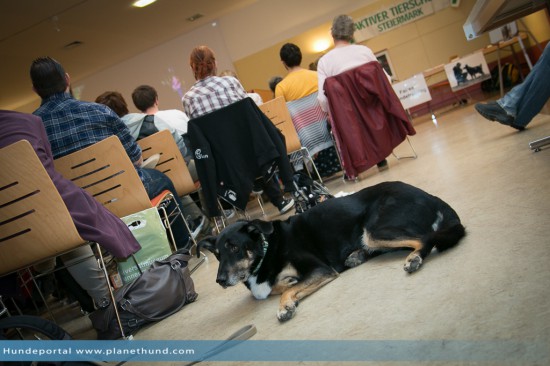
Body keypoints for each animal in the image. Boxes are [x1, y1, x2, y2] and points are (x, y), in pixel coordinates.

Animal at [198, 182, 466, 322]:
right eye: (218, 255)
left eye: (234, 247)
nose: (220, 280)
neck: (265, 250)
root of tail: (430, 196)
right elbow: (275, 287)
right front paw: (284, 286)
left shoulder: (320, 269)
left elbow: (285, 290)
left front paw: (285, 305)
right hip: (371, 235)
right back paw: (356, 256)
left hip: (375, 228)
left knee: (424, 239)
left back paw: (414, 258)